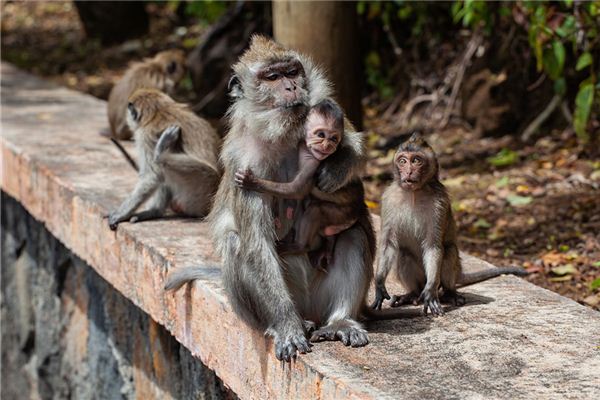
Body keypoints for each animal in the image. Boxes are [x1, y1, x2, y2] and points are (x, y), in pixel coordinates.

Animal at [108, 88, 220, 230]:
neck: (159, 111)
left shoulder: (144, 135)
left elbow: (152, 176)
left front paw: (121, 214)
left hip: (201, 191)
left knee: (161, 167)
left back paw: (160, 153)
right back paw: (155, 211)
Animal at [234, 98, 360, 270]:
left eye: (334, 138)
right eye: (321, 134)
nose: (327, 145)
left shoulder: (313, 161)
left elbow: (297, 189)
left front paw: (252, 182)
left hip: (343, 214)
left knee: (315, 210)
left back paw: (300, 246)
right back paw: (328, 244)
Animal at [372, 134, 528, 316]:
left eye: (416, 160)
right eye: (402, 161)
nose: (408, 171)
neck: (414, 193)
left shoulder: (439, 202)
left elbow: (433, 246)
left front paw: (430, 291)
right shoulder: (388, 199)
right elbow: (388, 243)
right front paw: (379, 284)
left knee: (448, 251)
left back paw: (449, 293)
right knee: (403, 254)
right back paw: (412, 294)